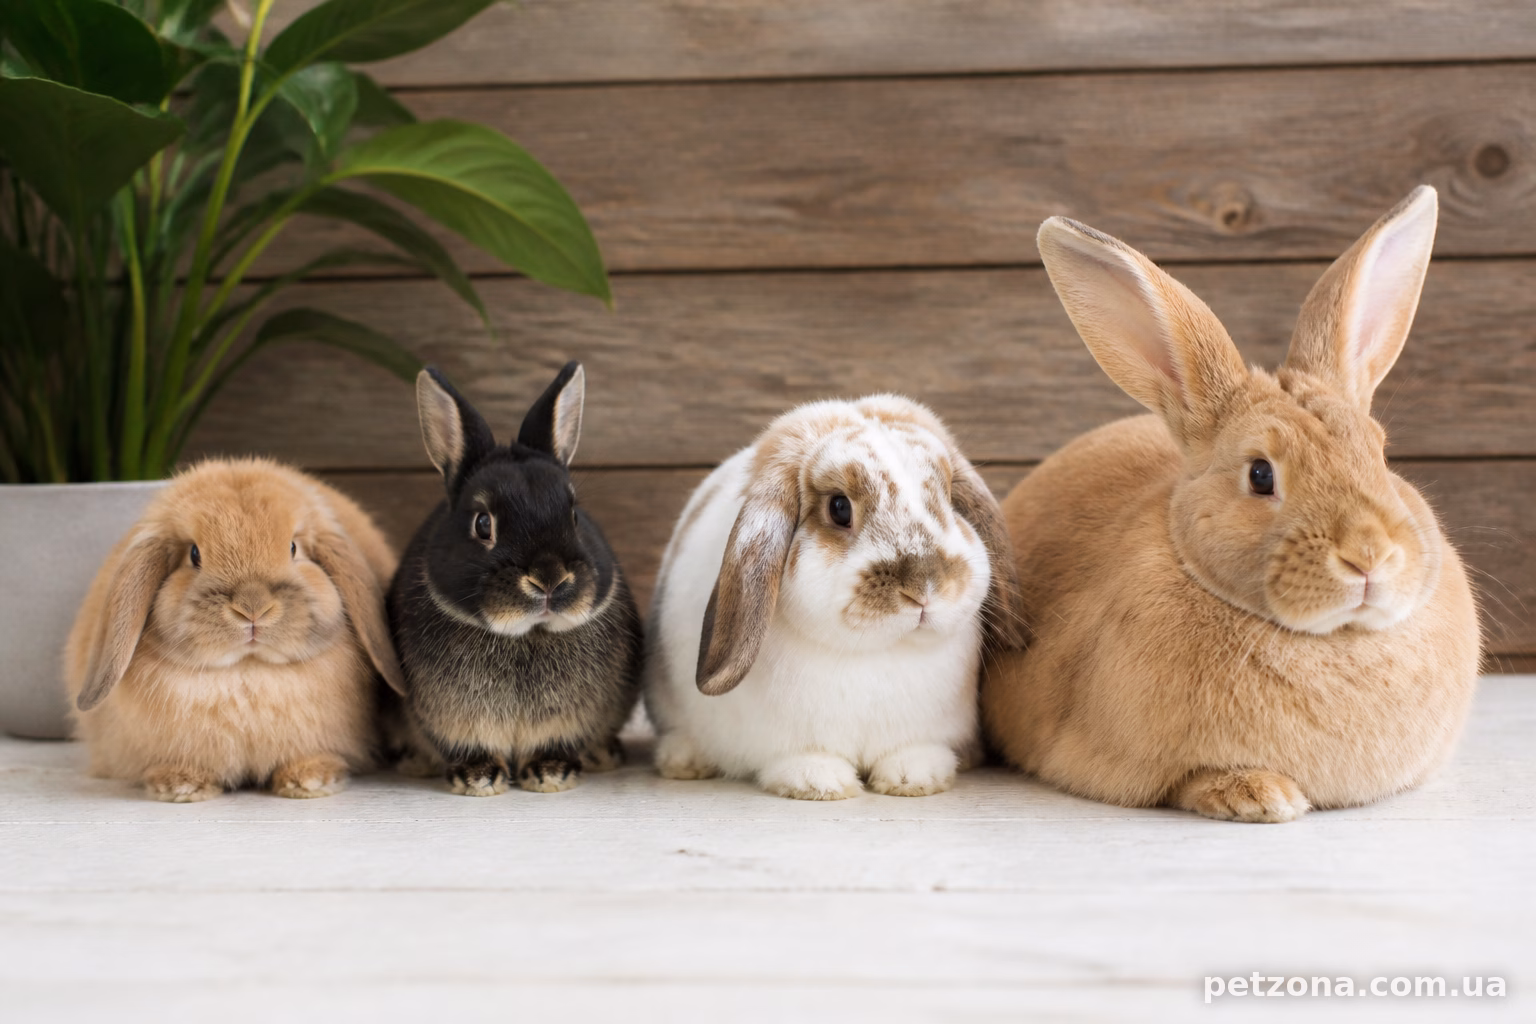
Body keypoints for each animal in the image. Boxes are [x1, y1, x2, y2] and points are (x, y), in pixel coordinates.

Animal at [63, 458, 406, 802]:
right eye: (194, 554)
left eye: (293, 548)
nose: (253, 608)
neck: (246, 671)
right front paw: (180, 786)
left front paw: (310, 780)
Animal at [387, 362, 643, 796]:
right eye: (482, 523)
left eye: (574, 516)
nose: (550, 578)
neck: (527, 634)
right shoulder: (447, 720)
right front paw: (477, 778)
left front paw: (550, 773)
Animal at [644, 394, 1025, 801]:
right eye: (839, 508)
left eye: (950, 500)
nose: (925, 587)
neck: (877, 652)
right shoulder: (785, 741)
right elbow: (802, 757)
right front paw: (819, 781)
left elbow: (912, 752)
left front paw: (913, 778)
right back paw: (684, 761)